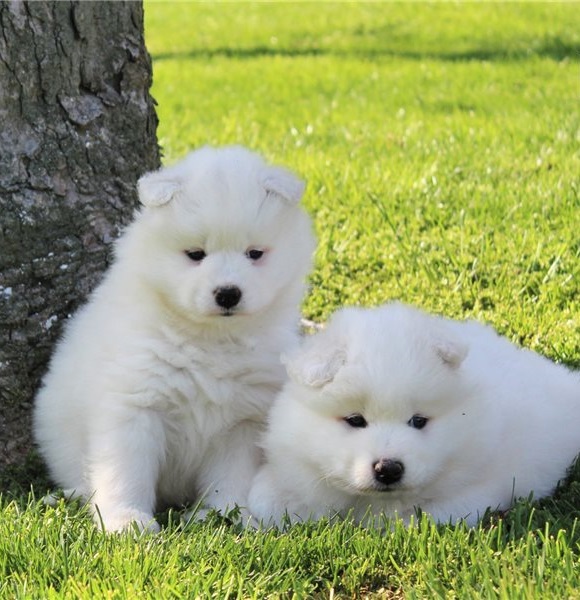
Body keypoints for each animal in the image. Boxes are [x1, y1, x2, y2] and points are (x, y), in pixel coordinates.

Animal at [34, 148, 314, 532]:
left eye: (254, 253)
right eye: (195, 254)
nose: (228, 293)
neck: (209, 339)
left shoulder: (243, 421)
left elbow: (231, 477)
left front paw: (227, 515)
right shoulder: (135, 405)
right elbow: (126, 471)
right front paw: (126, 520)